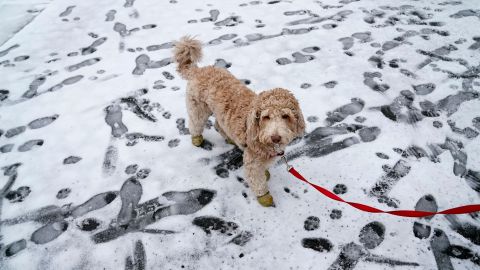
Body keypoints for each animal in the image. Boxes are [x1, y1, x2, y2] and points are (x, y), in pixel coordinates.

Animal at [174, 36, 306, 207]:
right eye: (266, 117)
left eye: (285, 116)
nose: (276, 137)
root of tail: (199, 70)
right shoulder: (252, 161)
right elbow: (257, 181)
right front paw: (264, 197)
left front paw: (266, 174)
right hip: (199, 109)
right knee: (195, 123)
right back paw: (197, 139)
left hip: (220, 114)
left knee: (218, 125)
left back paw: (229, 138)